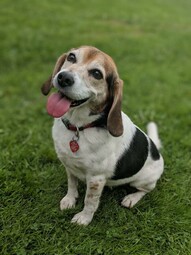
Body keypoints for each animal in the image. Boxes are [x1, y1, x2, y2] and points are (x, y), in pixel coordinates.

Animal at [41, 45, 164, 225]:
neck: (79, 127)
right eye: (71, 57)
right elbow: (72, 183)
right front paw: (70, 199)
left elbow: (90, 201)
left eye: (97, 74)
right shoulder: (69, 165)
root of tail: (156, 151)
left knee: (146, 190)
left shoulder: (96, 179)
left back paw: (131, 198)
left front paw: (84, 218)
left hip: (143, 180)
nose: (64, 78)